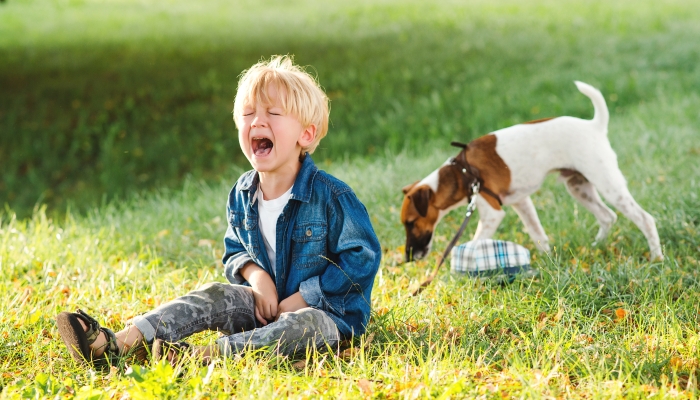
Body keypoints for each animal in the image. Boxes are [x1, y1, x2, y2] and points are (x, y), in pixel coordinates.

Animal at [400, 81, 660, 262]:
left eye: (411, 223)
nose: (408, 257)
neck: (460, 173)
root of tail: (594, 126)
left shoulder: (492, 214)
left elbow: (474, 244)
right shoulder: (521, 202)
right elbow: (538, 235)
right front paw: (548, 262)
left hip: (608, 185)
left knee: (645, 219)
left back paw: (657, 258)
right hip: (578, 186)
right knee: (607, 216)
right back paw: (597, 247)